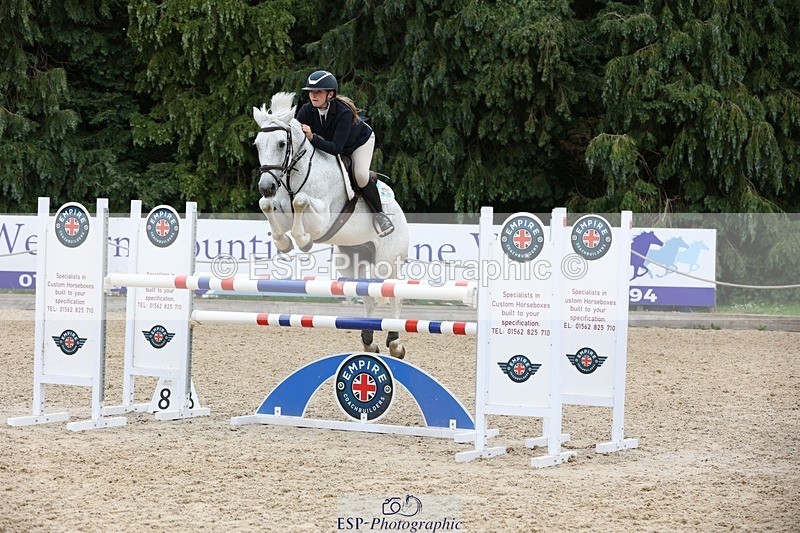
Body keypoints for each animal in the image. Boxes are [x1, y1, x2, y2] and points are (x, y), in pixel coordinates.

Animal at [252, 92, 410, 358]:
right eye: (257, 145)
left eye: (281, 144)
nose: (266, 186)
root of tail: (401, 215)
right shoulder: (280, 208)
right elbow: (267, 206)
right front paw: (283, 243)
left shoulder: (323, 218)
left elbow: (301, 201)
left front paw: (303, 241)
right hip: (350, 261)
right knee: (368, 297)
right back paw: (369, 341)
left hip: (387, 263)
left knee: (394, 296)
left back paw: (395, 343)